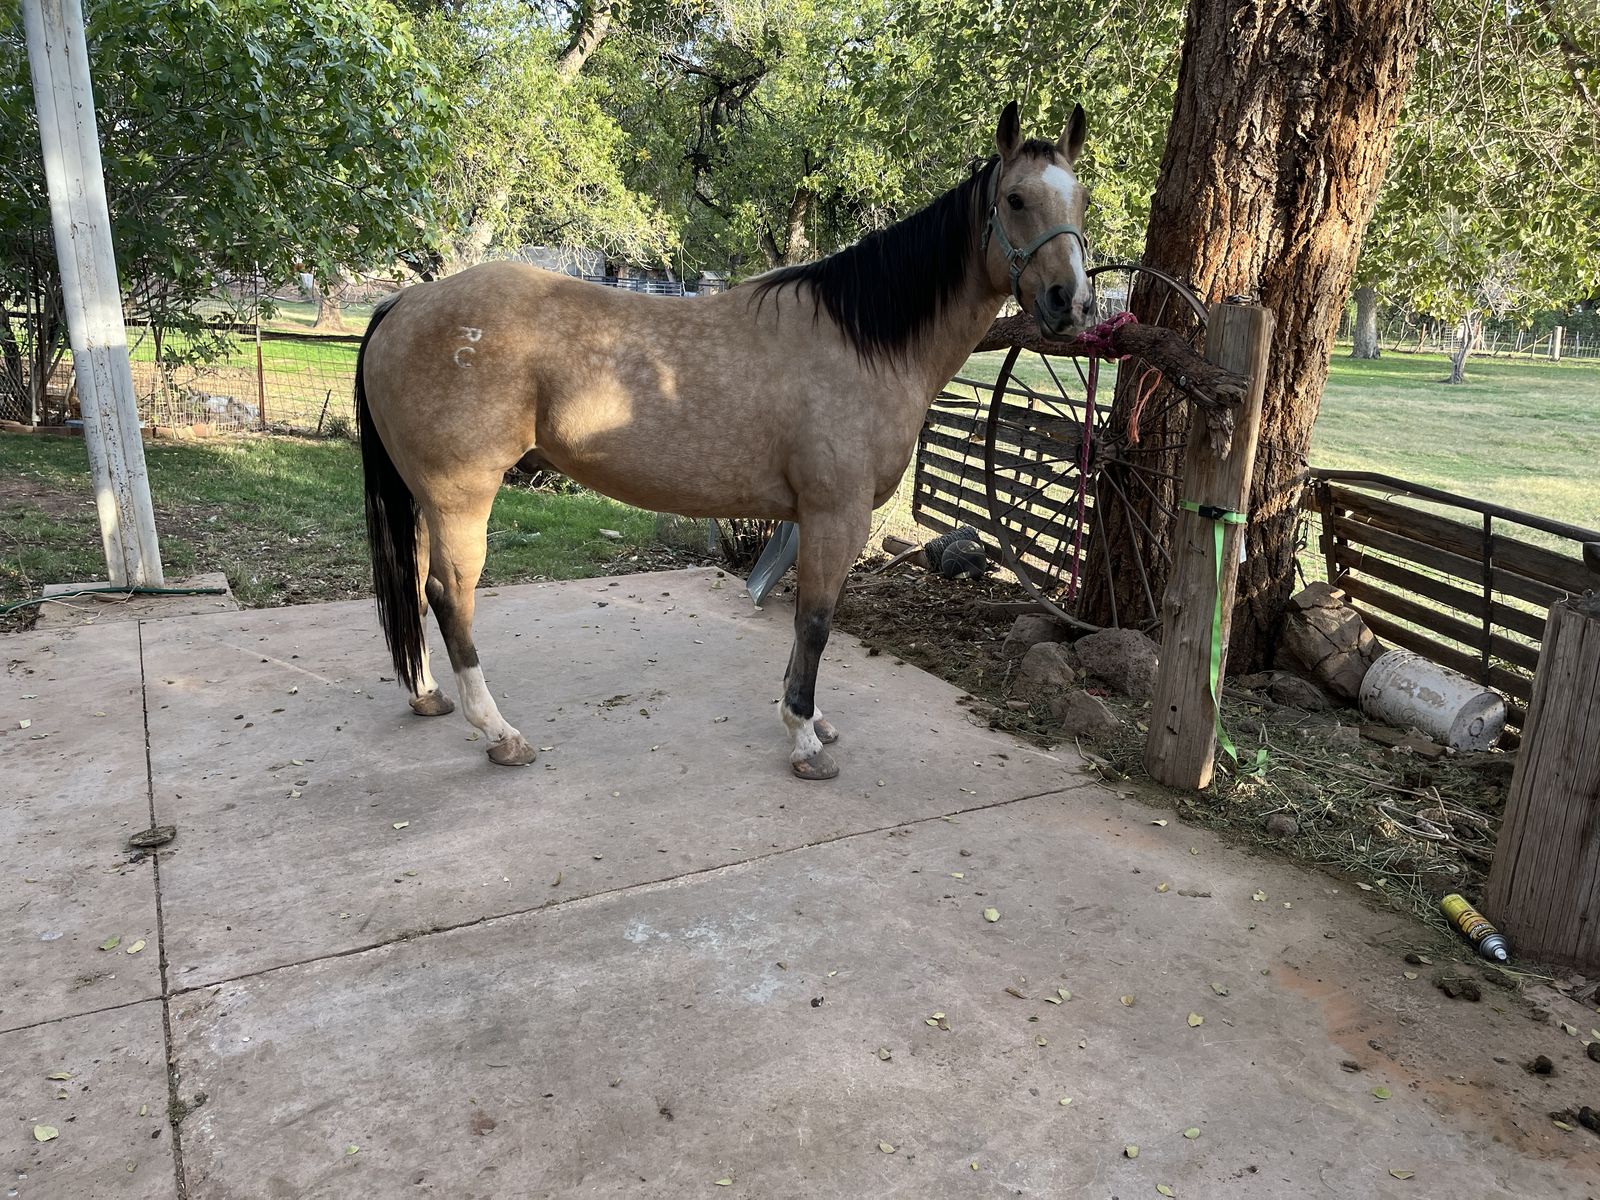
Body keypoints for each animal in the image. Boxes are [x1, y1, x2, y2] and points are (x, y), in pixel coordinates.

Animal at [355, 101, 1093, 780]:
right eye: (1016, 199)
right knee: (450, 594)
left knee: (417, 579)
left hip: (426, 498)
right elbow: (817, 621)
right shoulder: (836, 513)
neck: (863, 342)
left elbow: (806, 622)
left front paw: (809, 719)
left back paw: (428, 695)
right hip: (461, 495)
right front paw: (804, 739)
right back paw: (500, 733)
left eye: (1081, 198)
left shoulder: (814, 516)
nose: (1073, 303)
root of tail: (406, 303)